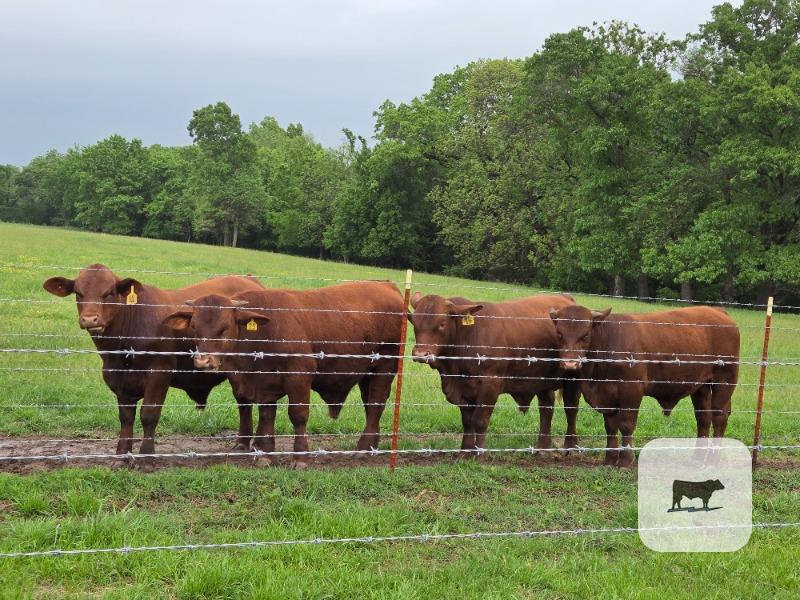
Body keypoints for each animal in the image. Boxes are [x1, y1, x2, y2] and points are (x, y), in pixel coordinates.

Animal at [43, 264, 264, 469]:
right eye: (78, 293)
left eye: (109, 293)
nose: (90, 319)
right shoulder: (119, 380)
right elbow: (126, 418)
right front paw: (121, 457)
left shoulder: (159, 372)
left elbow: (149, 414)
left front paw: (146, 459)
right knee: (243, 401)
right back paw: (242, 443)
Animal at [161, 281, 404, 468]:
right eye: (194, 327)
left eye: (225, 327)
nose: (203, 361)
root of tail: (386, 285)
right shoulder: (264, 382)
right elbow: (267, 415)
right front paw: (266, 455)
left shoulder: (299, 375)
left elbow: (298, 415)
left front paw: (300, 458)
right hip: (367, 372)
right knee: (370, 404)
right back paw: (372, 444)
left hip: (385, 365)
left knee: (376, 404)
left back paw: (363, 447)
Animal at [408, 292, 581, 453]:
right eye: (414, 321)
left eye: (442, 323)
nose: (420, 354)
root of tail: (566, 298)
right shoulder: (463, 388)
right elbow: (467, 421)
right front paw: (465, 451)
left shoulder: (490, 385)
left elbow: (480, 421)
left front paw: (479, 453)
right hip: (541, 380)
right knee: (546, 407)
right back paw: (542, 447)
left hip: (572, 377)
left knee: (571, 409)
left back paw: (570, 446)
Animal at [548, 305, 740, 467]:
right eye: (559, 333)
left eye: (585, 335)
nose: (570, 364)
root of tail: (717, 311)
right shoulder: (607, 395)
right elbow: (610, 426)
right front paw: (610, 459)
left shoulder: (631, 390)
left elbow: (626, 424)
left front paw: (625, 461)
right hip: (701, 386)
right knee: (703, 418)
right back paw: (697, 458)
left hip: (725, 380)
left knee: (719, 417)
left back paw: (713, 459)